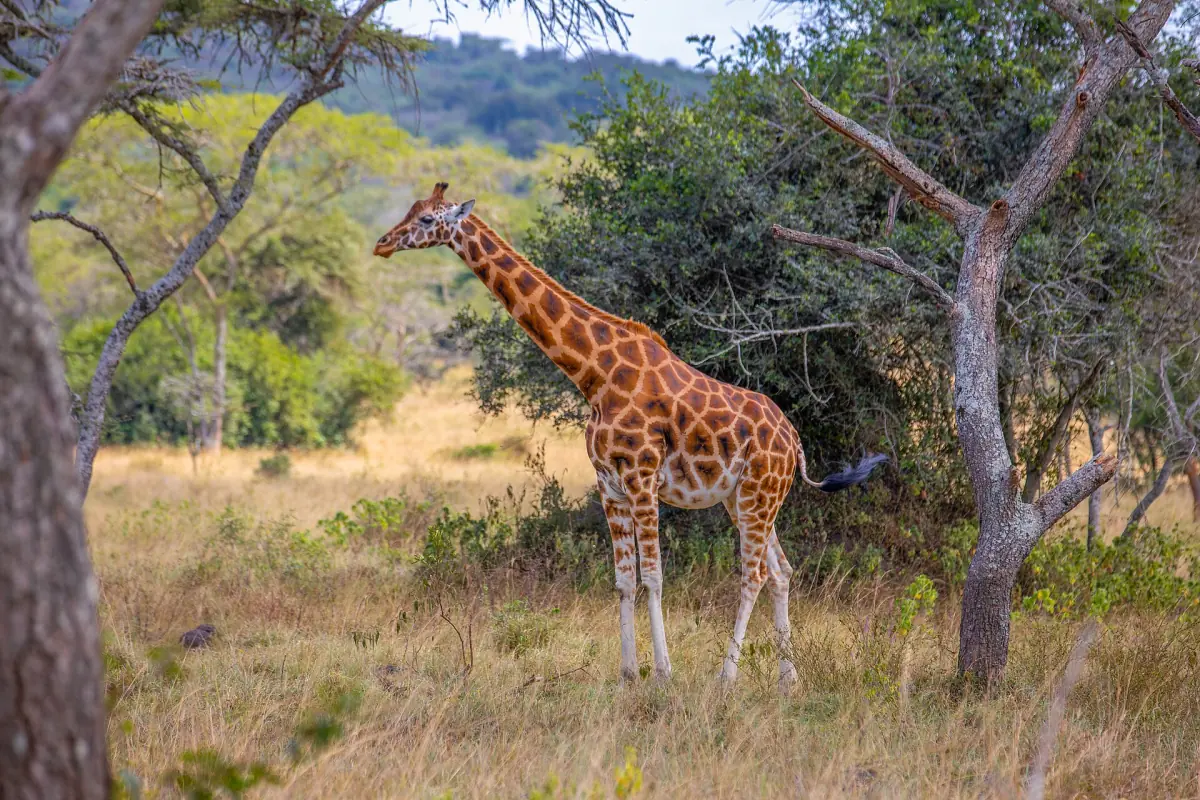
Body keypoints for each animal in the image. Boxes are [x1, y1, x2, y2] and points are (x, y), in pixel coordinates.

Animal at [374, 182, 886, 686]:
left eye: (427, 218)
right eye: (411, 209)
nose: (381, 243)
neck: (595, 376)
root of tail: (794, 441)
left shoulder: (642, 479)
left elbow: (653, 577)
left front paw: (663, 673)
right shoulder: (610, 485)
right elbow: (622, 580)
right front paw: (626, 674)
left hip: (758, 495)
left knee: (754, 574)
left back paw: (726, 678)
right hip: (744, 498)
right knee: (781, 571)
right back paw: (788, 680)